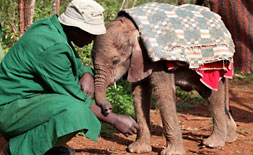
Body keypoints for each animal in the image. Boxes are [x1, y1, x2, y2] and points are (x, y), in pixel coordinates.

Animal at [92, 3, 237, 154]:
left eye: (115, 61)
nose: (108, 108)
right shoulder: (139, 62)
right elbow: (139, 94)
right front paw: (137, 149)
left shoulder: (158, 62)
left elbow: (163, 92)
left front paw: (171, 152)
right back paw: (229, 138)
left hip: (213, 65)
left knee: (212, 94)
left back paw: (212, 144)